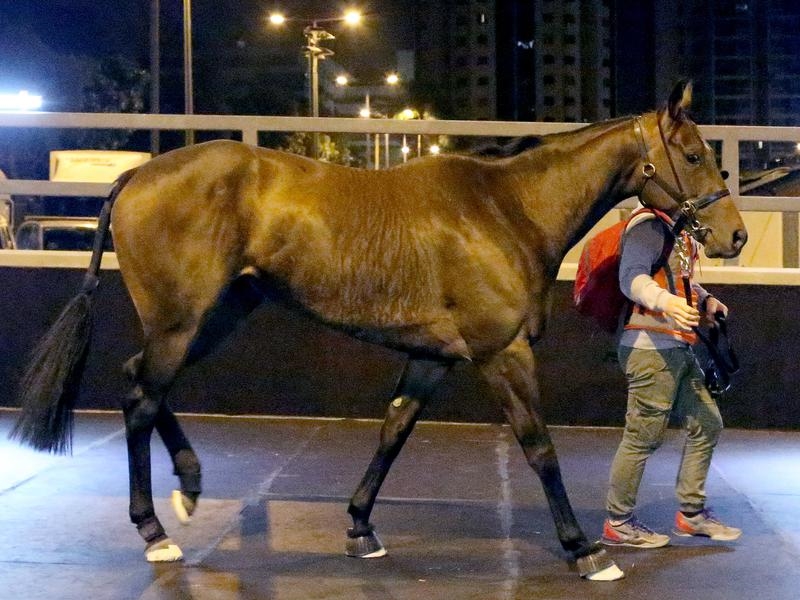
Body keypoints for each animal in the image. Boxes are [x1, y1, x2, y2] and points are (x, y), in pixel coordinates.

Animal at [11, 81, 746, 581]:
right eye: (691, 153)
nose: (733, 235)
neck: (503, 209)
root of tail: (137, 173)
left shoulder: (430, 358)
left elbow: (393, 432)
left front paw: (361, 527)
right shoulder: (502, 354)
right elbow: (539, 448)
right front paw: (583, 549)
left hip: (215, 316)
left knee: (143, 386)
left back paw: (188, 490)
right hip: (182, 320)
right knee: (141, 397)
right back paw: (157, 529)